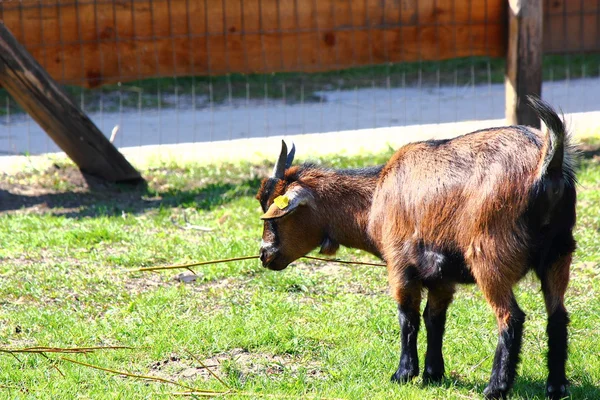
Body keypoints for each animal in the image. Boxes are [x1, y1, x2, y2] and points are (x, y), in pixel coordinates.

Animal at [256, 97, 576, 400]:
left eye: (274, 215)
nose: (264, 254)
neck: (375, 198)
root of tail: (548, 164)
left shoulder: (400, 265)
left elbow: (406, 316)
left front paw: (403, 373)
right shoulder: (441, 276)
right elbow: (434, 318)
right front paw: (433, 373)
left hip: (489, 257)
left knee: (511, 317)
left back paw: (495, 388)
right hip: (559, 254)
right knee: (558, 316)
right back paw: (556, 387)